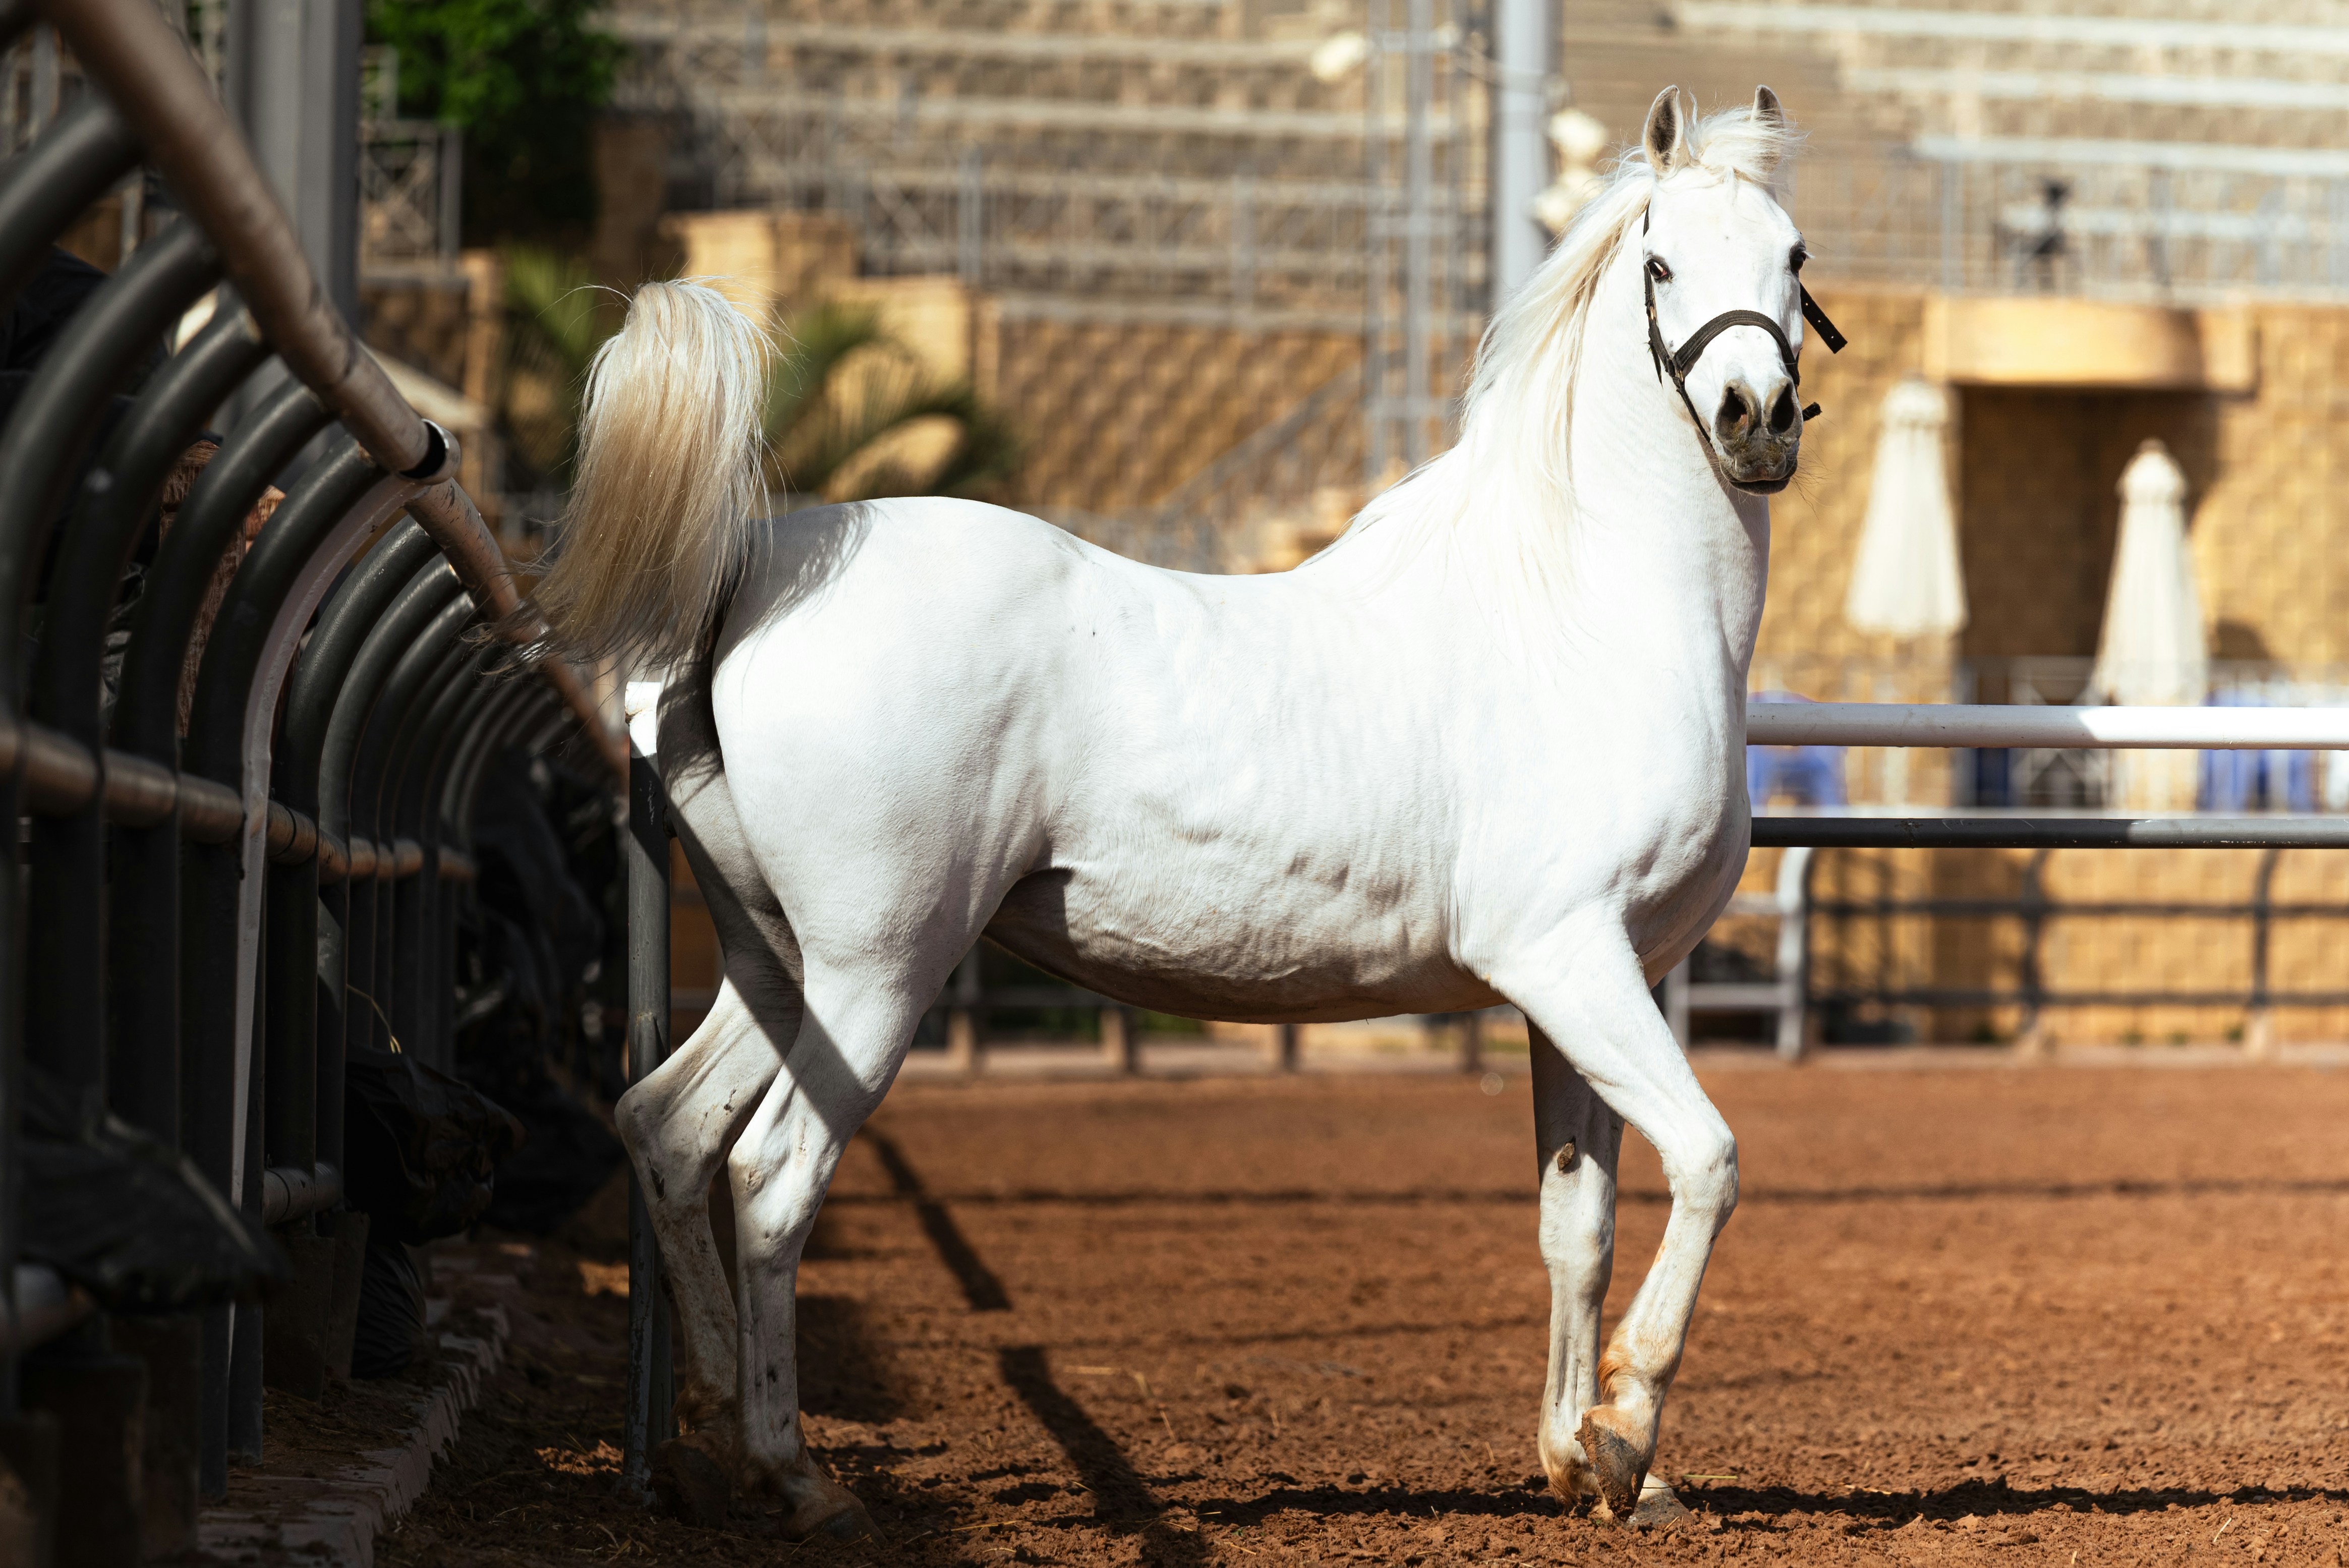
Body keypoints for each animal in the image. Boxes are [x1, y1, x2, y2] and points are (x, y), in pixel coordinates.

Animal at [548, 84, 1823, 1541]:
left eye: (1793, 256)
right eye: (1661, 264)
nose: (1757, 421)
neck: (1587, 606)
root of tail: (760, 572)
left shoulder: (1585, 988)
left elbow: (1580, 1220)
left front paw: (1587, 1458)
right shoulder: (1569, 961)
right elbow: (1713, 1160)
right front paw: (1628, 1421)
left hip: (773, 962)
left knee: (667, 1130)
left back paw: (711, 1437)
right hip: (878, 970)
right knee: (770, 1181)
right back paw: (795, 1474)